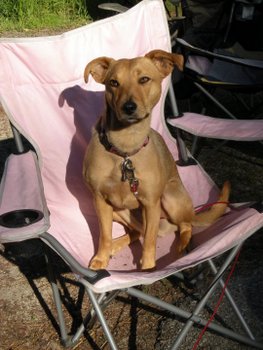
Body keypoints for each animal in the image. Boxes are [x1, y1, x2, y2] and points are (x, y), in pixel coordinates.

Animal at [83, 49, 230, 270]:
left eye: (144, 79)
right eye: (114, 83)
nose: (128, 107)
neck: (125, 150)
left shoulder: (152, 203)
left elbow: (150, 241)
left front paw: (148, 267)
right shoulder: (100, 200)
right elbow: (105, 235)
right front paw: (101, 257)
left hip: (170, 198)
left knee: (184, 225)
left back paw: (182, 244)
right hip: (119, 210)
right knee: (136, 231)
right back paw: (115, 246)